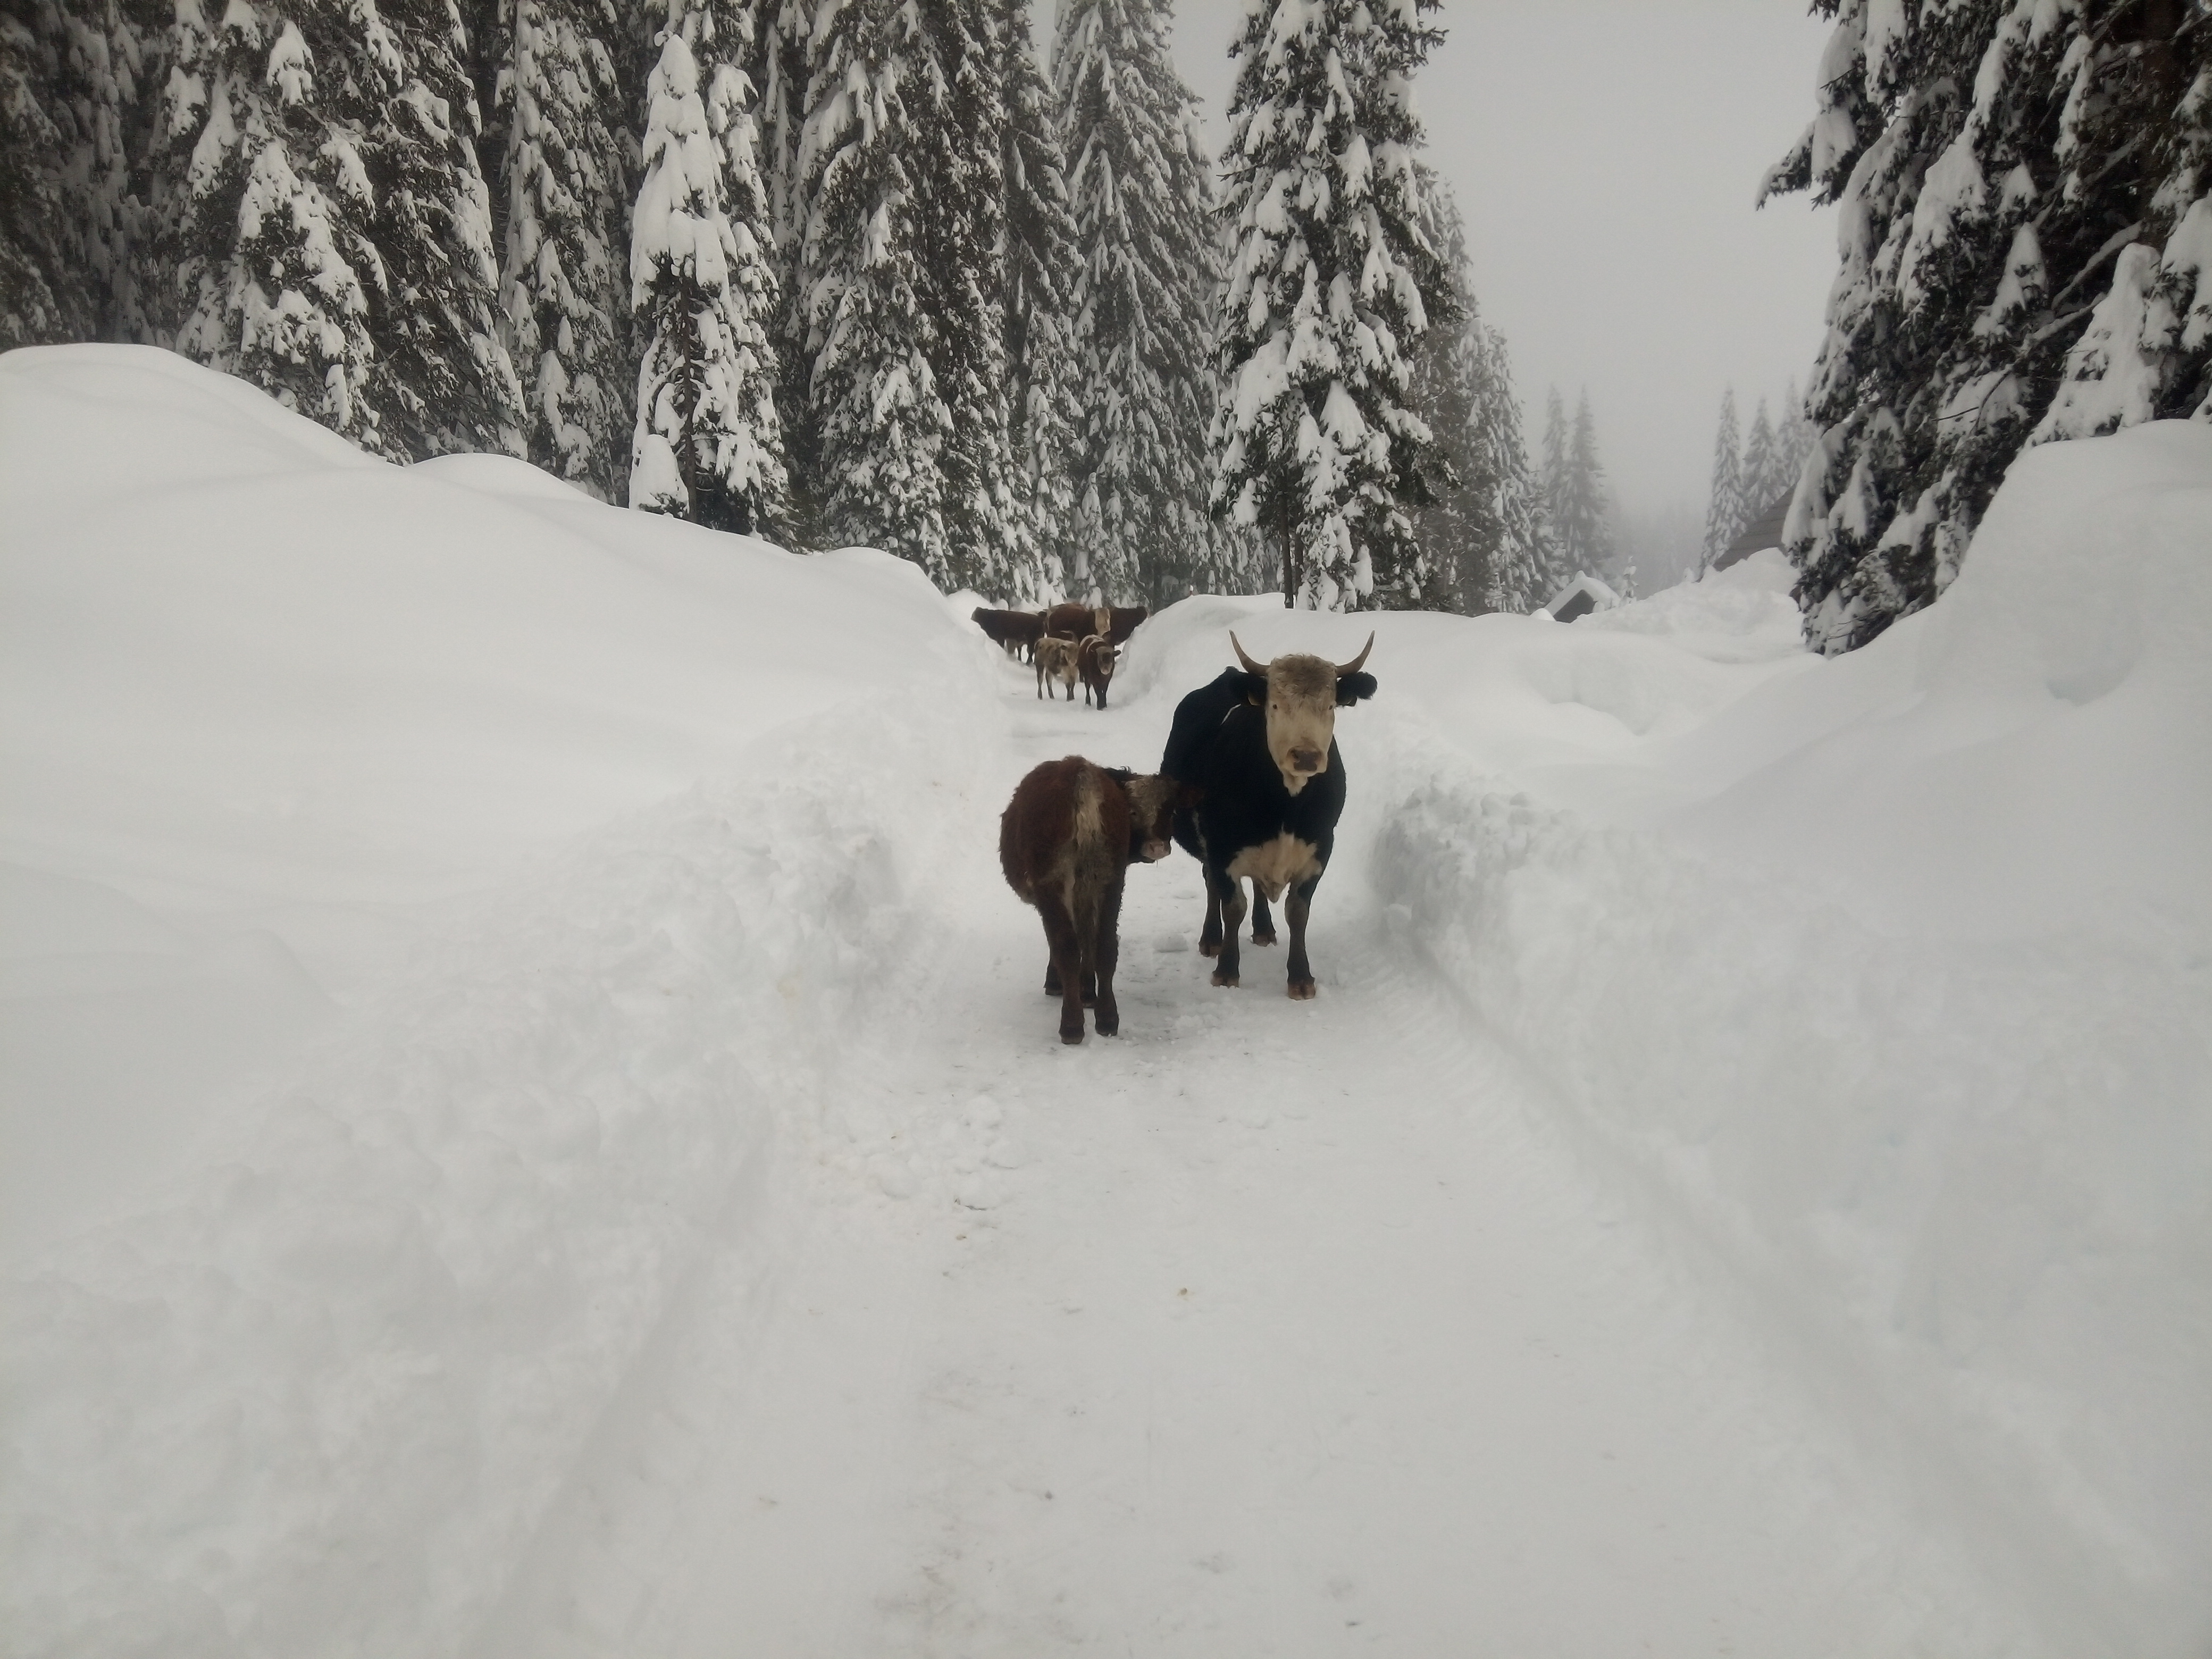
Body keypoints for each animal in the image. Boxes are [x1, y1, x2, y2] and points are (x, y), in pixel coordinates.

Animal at [1004, 761, 1194, 1044]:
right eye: (1133, 812)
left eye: (1169, 811)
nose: (1157, 847)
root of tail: (1079, 773)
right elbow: (1089, 938)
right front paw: (1087, 991)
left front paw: (1063, 984)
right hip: (1110, 879)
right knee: (1105, 945)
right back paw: (1107, 1018)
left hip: (1054, 882)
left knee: (1067, 947)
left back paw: (1071, 1025)